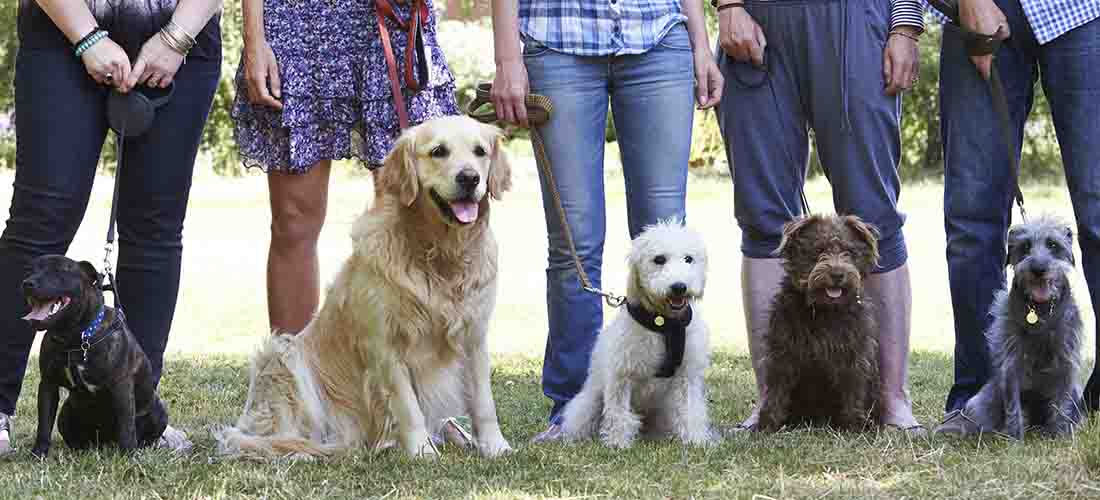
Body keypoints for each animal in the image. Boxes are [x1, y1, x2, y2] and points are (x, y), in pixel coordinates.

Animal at [23, 256, 167, 457]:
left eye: (60, 270)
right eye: (30, 270)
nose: (27, 283)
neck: (75, 338)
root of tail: (106, 441)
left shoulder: (121, 387)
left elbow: (126, 426)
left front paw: (128, 455)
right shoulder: (48, 385)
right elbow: (44, 423)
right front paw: (39, 453)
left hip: (158, 412)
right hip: (65, 414)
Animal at [214, 115, 514, 459]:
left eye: (480, 151)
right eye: (439, 151)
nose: (470, 178)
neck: (439, 252)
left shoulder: (474, 336)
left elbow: (483, 401)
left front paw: (495, 446)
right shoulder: (385, 344)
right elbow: (408, 406)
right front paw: (422, 451)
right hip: (281, 355)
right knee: (280, 435)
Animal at [558, 219, 712, 450]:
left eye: (688, 259)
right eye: (659, 259)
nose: (679, 287)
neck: (664, 324)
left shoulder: (687, 375)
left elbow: (690, 409)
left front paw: (696, 440)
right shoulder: (622, 374)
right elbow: (619, 413)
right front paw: (618, 443)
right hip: (589, 402)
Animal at [756, 215, 884, 435]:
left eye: (849, 252)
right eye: (818, 251)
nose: (837, 274)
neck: (825, 310)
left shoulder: (854, 355)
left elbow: (854, 389)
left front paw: (854, 424)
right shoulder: (783, 353)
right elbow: (777, 390)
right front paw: (768, 423)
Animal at [932, 215, 1086, 439]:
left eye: (1053, 244)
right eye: (1025, 246)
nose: (1038, 269)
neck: (1040, 312)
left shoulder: (1067, 362)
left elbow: (1062, 404)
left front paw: (1061, 435)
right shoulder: (1011, 363)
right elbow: (1013, 406)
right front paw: (1015, 439)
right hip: (984, 399)